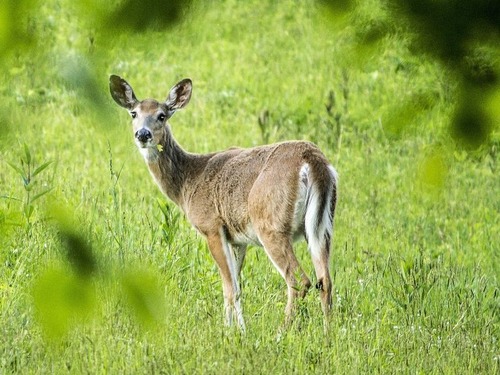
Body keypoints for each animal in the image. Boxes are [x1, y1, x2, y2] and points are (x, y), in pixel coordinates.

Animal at [108, 75, 336, 332]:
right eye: (134, 113)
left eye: (162, 115)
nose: (143, 134)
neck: (187, 182)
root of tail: (313, 160)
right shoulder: (238, 240)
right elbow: (237, 287)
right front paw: (239, 330)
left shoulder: (212, 227)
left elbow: (228, 288)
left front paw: (229, 332)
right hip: (321, 226)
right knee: (325, 280)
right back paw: (328, 334)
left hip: (271, 224)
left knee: (300, 281)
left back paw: (281, 333)